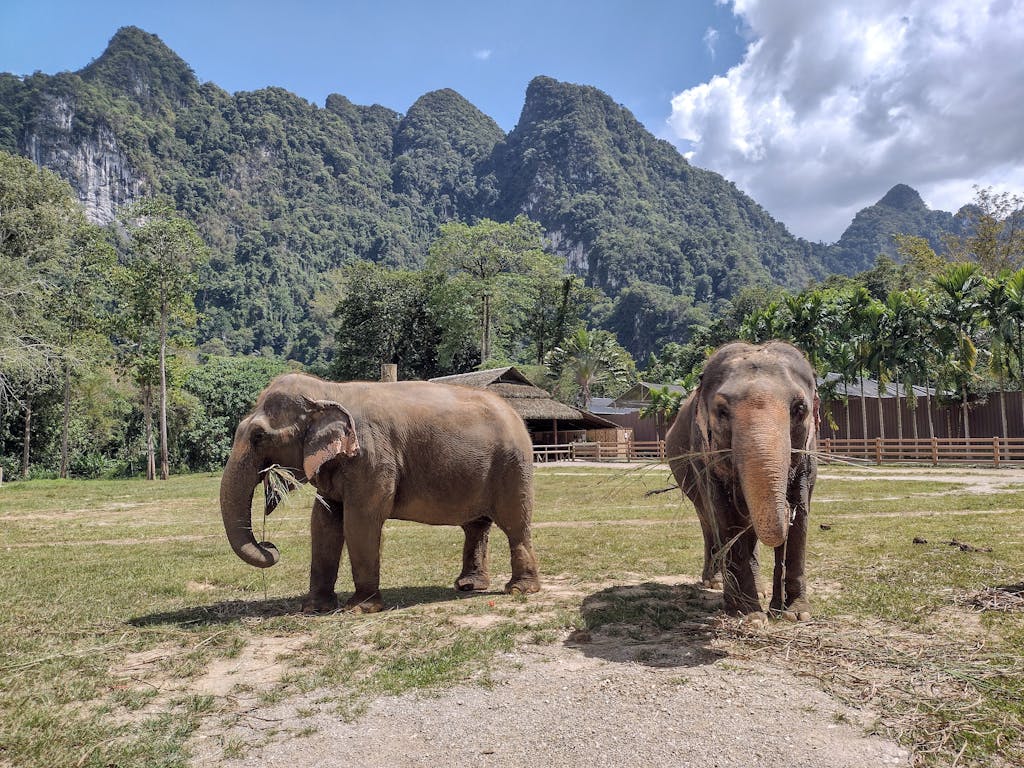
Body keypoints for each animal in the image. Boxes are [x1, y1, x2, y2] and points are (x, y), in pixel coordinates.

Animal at [219, 372, 541, 613]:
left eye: (259, 436)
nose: (270, 546)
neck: (329, 390)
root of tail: (516, 414)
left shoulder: (372, 458)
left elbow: (360, 521)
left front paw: (359, 609)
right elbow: (323, 523)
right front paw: (313, 608)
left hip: (513, 467)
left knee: (515, 524)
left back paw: (519, 590)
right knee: (476, 527)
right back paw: (468, 586)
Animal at [665, 341, 818, 626]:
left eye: (800, 409)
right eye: (722, 411)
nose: (776, 608)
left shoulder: (809, 453)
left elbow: (801, 514)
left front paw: (795, 613)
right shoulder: (704, 455)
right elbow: (725, 516)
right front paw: (749, 615)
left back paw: (757, 591)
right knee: (708, 520)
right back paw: (716, 582)